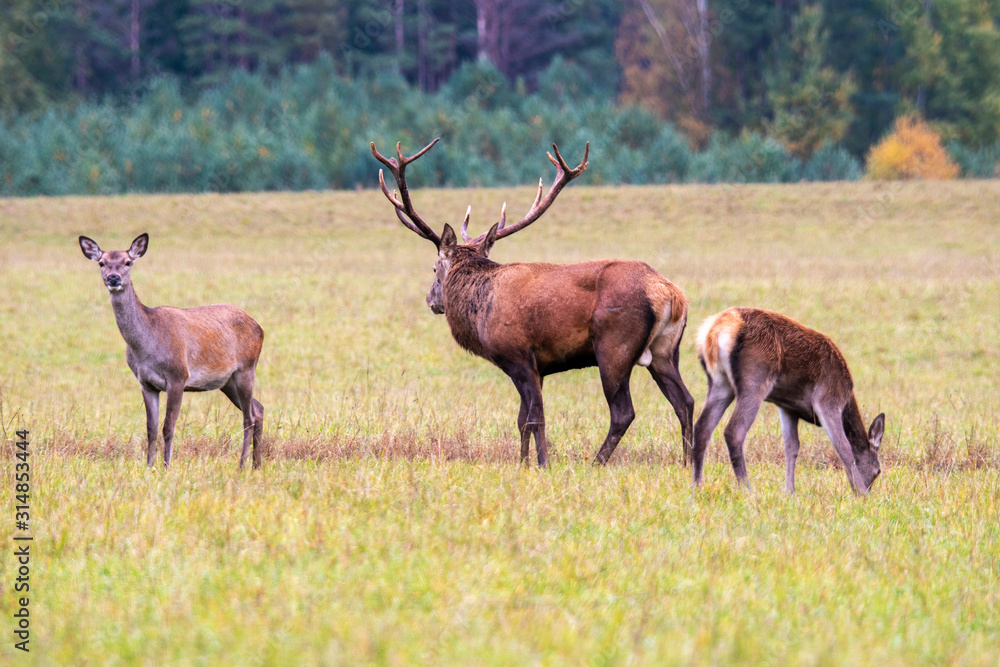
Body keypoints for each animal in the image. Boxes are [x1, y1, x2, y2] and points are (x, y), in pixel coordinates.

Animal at [79, 233, 265, 470]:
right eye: (102, 263)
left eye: (128, 262)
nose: (113, 278)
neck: (148, 345)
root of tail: (259, 327)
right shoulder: (145, 382)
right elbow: (151, 428)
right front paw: (149, 466)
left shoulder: (178, 376)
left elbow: (168, 427)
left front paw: (167, 466)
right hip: (227, 381)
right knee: (258, 409)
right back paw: (256, 464)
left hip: (246, 368)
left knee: (248, 417)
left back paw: (242, 465)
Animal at [371, 138, 695, 467]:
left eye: (434, 268)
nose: (430, 300)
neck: (481, 310)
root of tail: (670, 294)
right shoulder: (539, 368)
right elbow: (521, 419)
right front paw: (523, 462)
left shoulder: (519, 357)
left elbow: (535, 418)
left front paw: (542, 463)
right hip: (666, 350)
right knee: (685, 401)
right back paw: (687, 461)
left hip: (614, 346)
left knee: (623, 412)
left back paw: (596, 462)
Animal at [692, 307, 884, 494]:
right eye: (878, 471)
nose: (868, 489)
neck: (847, 398)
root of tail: (714, 331)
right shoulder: (827, 401)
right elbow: (843, 448)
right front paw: (861, 494)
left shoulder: (787, 406)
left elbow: (791, 447)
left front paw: (789, 491)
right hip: (755, 381)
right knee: (734, 431)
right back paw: (748, 491)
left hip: (720, 383)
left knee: (702, 427)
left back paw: (697, 487)